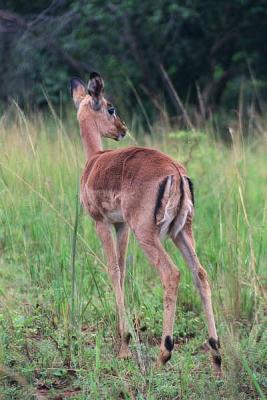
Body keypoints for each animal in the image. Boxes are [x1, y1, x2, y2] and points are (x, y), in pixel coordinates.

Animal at [70, 72, 223, 376]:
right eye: (111, 108)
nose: (122, 129)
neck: (94, 162)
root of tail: (176, 172)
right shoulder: (121, 226)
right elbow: (122, 271)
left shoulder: (101, 222)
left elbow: (113, 270)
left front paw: (124, 344)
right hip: (181, 233)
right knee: (200, 274)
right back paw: (216, 356)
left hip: (148, 235)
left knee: (172, 274)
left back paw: (164, 354)